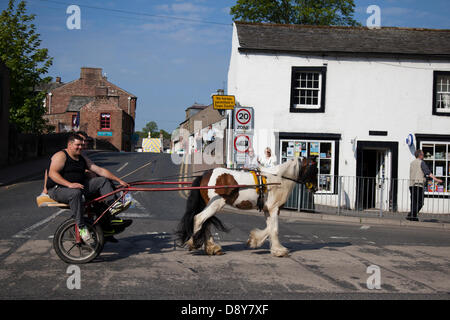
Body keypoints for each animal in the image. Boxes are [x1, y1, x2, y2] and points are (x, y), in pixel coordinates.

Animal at [174, 158, 318, 258]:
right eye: (315, 169)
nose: (316, 188)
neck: (278, 179)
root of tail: (205, 175)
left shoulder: (267, 210)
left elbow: (269, 229)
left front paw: (255, 240)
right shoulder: (274, 209)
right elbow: (274, 229)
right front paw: (280, 251)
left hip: (211, 205)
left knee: (206, 223)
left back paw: (212, 248)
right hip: (215, 205)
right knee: (199, 219)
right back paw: (193, 242)